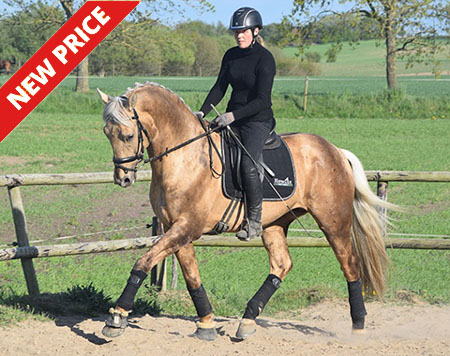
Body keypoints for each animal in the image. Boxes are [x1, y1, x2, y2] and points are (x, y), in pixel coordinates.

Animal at [97, 82, 394, 340]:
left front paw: (116, 318)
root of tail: (335, 151)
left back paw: (358, 327)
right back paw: (248, 320)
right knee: (282, 264)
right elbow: (191, 276)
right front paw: (206, 324)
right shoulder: (176, 228)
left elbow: (143, 262)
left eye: (128, 135)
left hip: (333, 223)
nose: (123, 179)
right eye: (106, 133)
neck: (185, 158)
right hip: (274, 224)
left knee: (350, 265)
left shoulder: (187, 226)